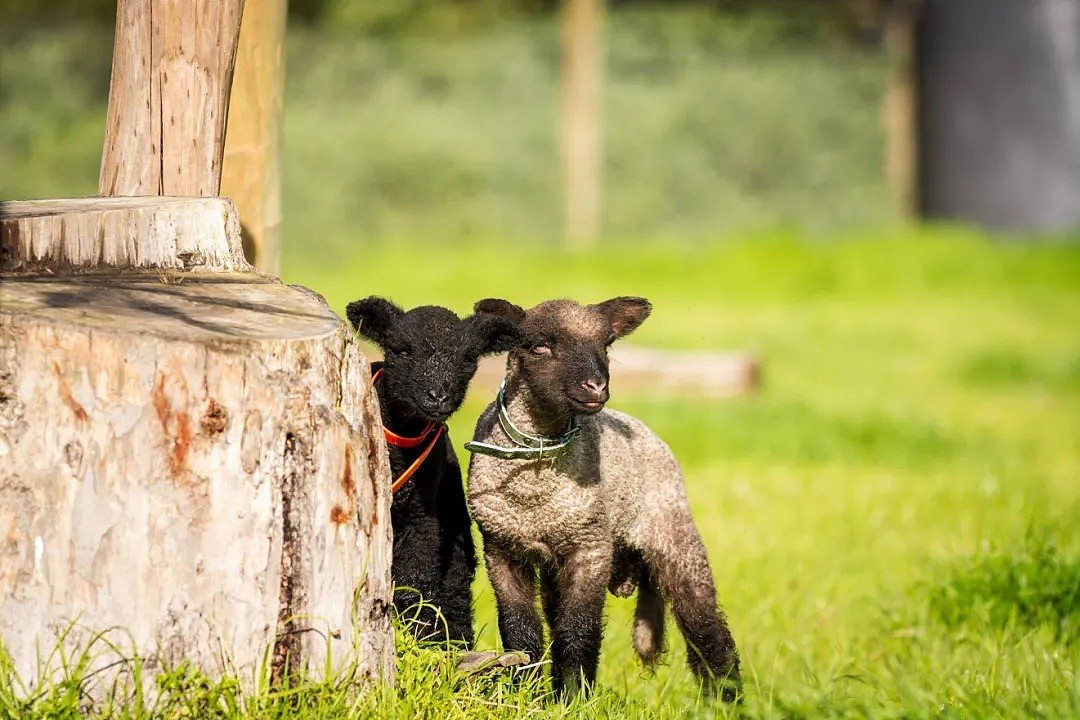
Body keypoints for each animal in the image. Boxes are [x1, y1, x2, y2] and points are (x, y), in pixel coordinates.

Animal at [345, 295, 514, 643]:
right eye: (401, 350)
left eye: (468, 357)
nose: (438, 397)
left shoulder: (422, 515)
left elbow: (416, 577)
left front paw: (415, 634)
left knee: (455, 589)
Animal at [466, 295, 743, 699]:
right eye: (539, 346)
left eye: (606, 344)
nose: (596, 387)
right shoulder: (502, 548)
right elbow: (521, 632)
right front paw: (526, 693)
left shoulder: (591, 547)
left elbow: (579, 630)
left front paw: (575, 697)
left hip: (674, 534)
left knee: (706, 628)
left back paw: (726, 700)